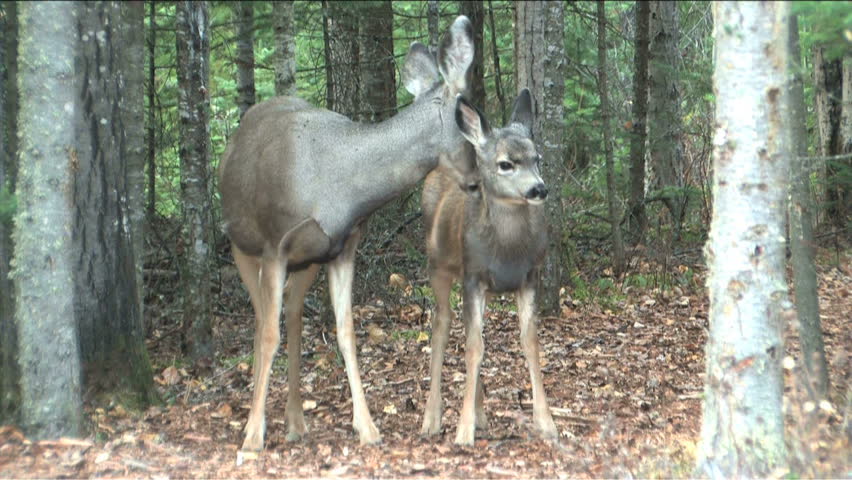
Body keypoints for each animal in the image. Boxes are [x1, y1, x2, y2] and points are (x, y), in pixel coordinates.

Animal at [218, 16, 479, 456]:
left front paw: (368, 427)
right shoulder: (274, 245)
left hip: (306, 261)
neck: (342, 185)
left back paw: (296, 421)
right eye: (470, 118)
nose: (478, 181)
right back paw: (262, 419)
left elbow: (346, 332)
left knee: (293, 315)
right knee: (261, 321)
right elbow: (268, 335)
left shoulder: (343, 248)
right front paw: (253, 435)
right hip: (241, 244)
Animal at [419, 89, 559, 446]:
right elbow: (473, 348)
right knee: (441, 328)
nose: (539, 188)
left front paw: (547, 423)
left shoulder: (530, 277)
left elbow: (529, 343)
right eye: (506, 163)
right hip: (439, 267)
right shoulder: (473, 277)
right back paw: (432, 419)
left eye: (537, 158)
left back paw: (480, 413)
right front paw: (462, 431)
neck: (507, 251)